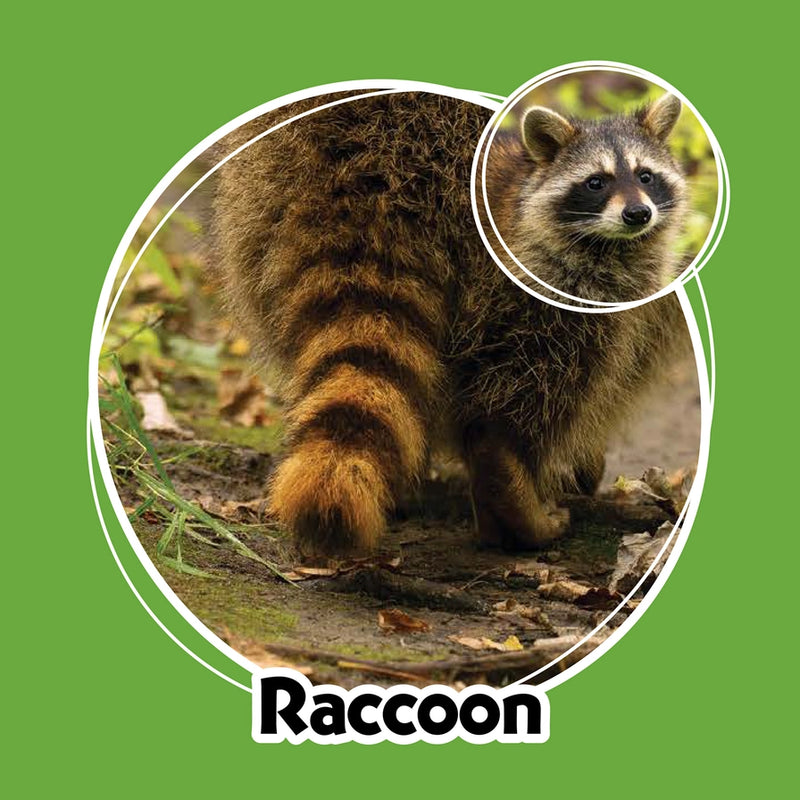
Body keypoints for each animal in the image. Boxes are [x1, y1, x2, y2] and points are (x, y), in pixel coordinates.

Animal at [212, 90, 691, 554]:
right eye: (596, 183)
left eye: (646, 176)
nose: (637, 214)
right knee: (557, 357)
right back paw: (507, 467)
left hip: (259, 205)